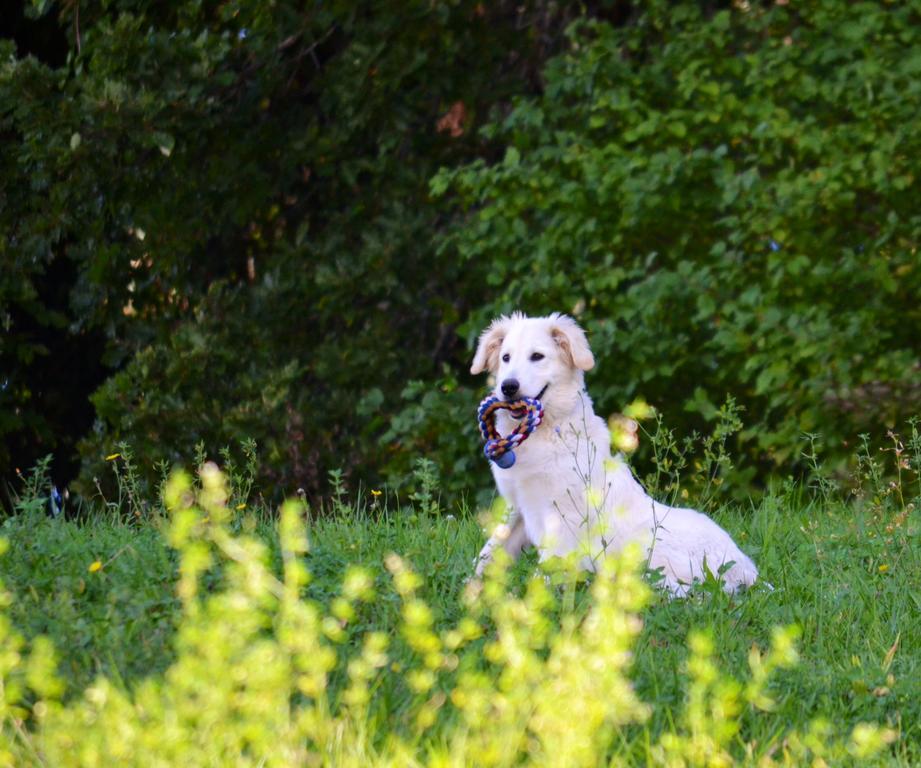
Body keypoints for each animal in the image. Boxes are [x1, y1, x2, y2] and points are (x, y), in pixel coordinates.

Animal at [470, 312, 760, 592]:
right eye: (506, 357)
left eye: (537, 356)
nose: (508, 387)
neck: (548, 431)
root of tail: (748, 571)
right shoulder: (518, 508)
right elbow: (490, 551)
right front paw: (473, 589)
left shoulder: (561, 518)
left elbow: (548, 567)